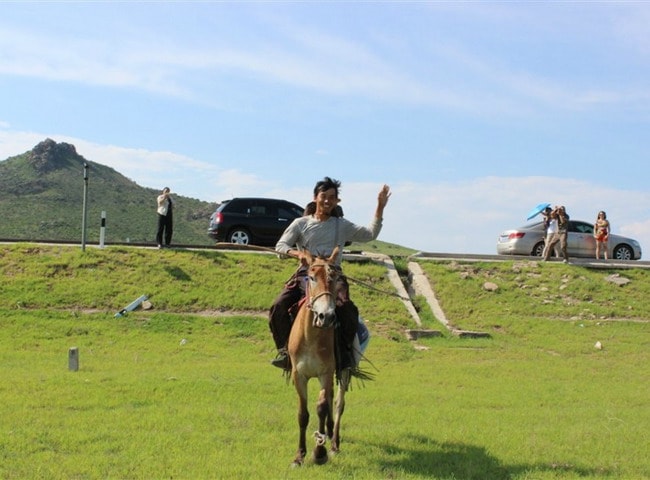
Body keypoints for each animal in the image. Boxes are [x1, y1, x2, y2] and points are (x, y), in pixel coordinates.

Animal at [288, 248, 350, 464]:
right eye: (312, 277)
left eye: (335, 279)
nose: (327, 316)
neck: (311, 337)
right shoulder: (299, 375)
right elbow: (302, 414)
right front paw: (299, 455)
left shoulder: (325, 373)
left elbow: (321, 407)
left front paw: (319, 452)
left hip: (343, 372)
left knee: (338, 404)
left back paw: (334, 443)